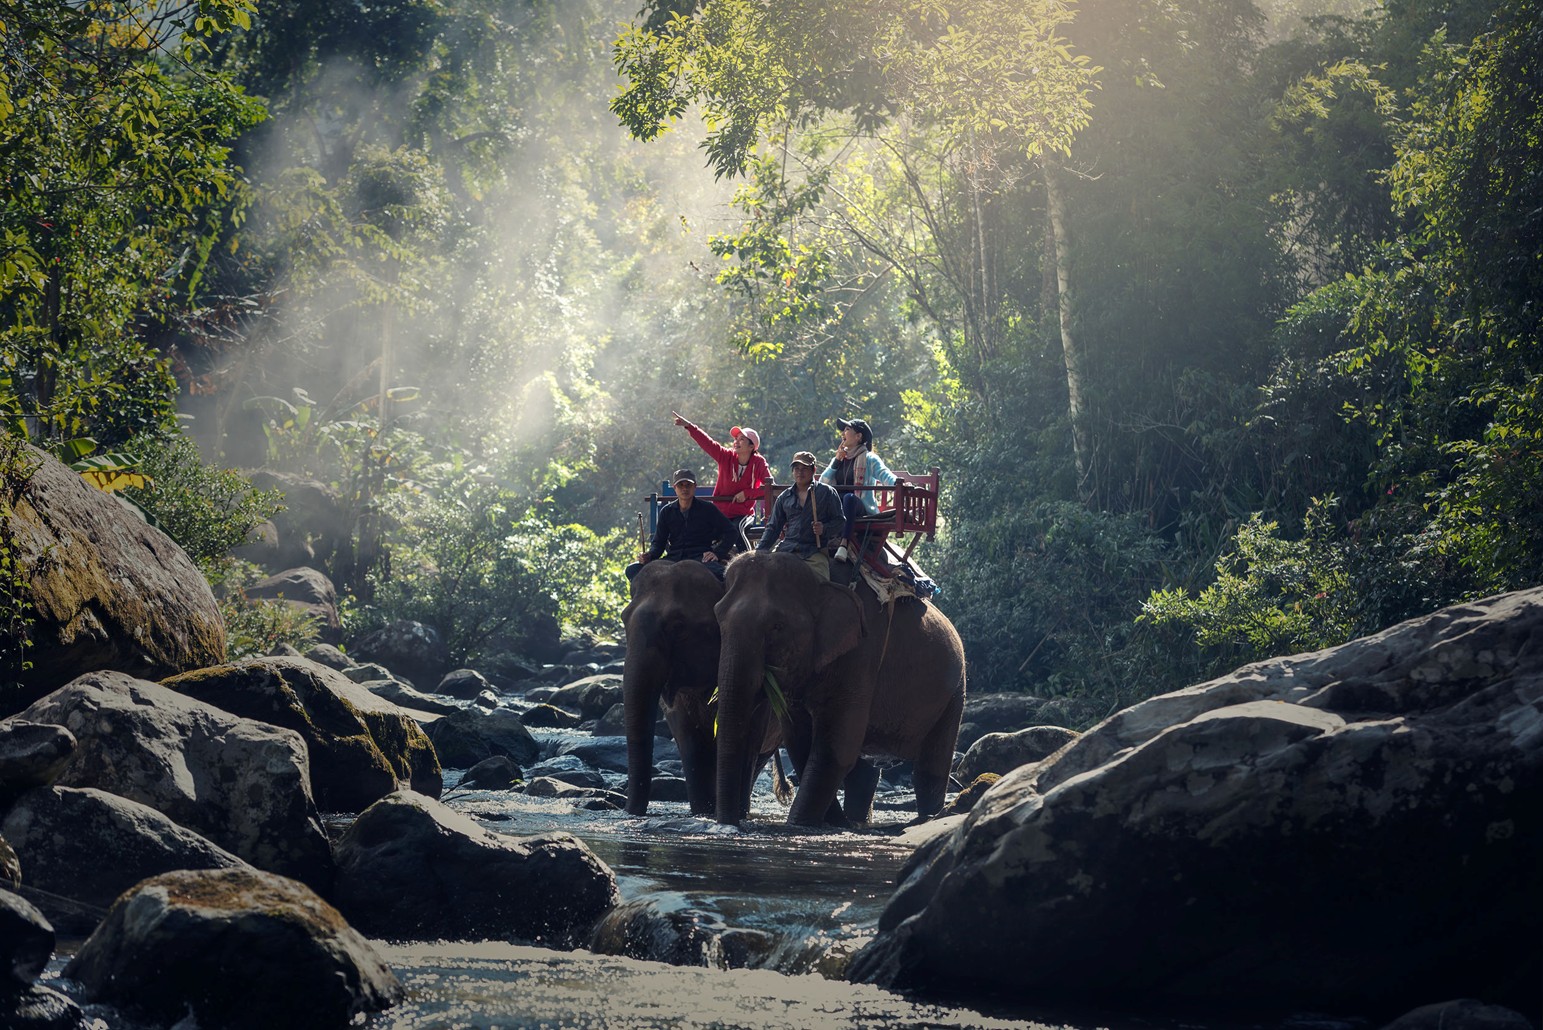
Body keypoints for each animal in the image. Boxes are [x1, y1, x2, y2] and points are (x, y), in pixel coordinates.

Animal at [712, 551, 966, 827]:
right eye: (717, 617)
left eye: (777, 626)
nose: (732, 823)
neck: (817, 576)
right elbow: (800, 742)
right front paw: (830, 821)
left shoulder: (863, 652)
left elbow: (836, 749)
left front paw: (800, 823)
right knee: (865, 773)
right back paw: (857, 821)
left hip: (954, 691)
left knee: (931, 765)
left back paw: (927, 817)